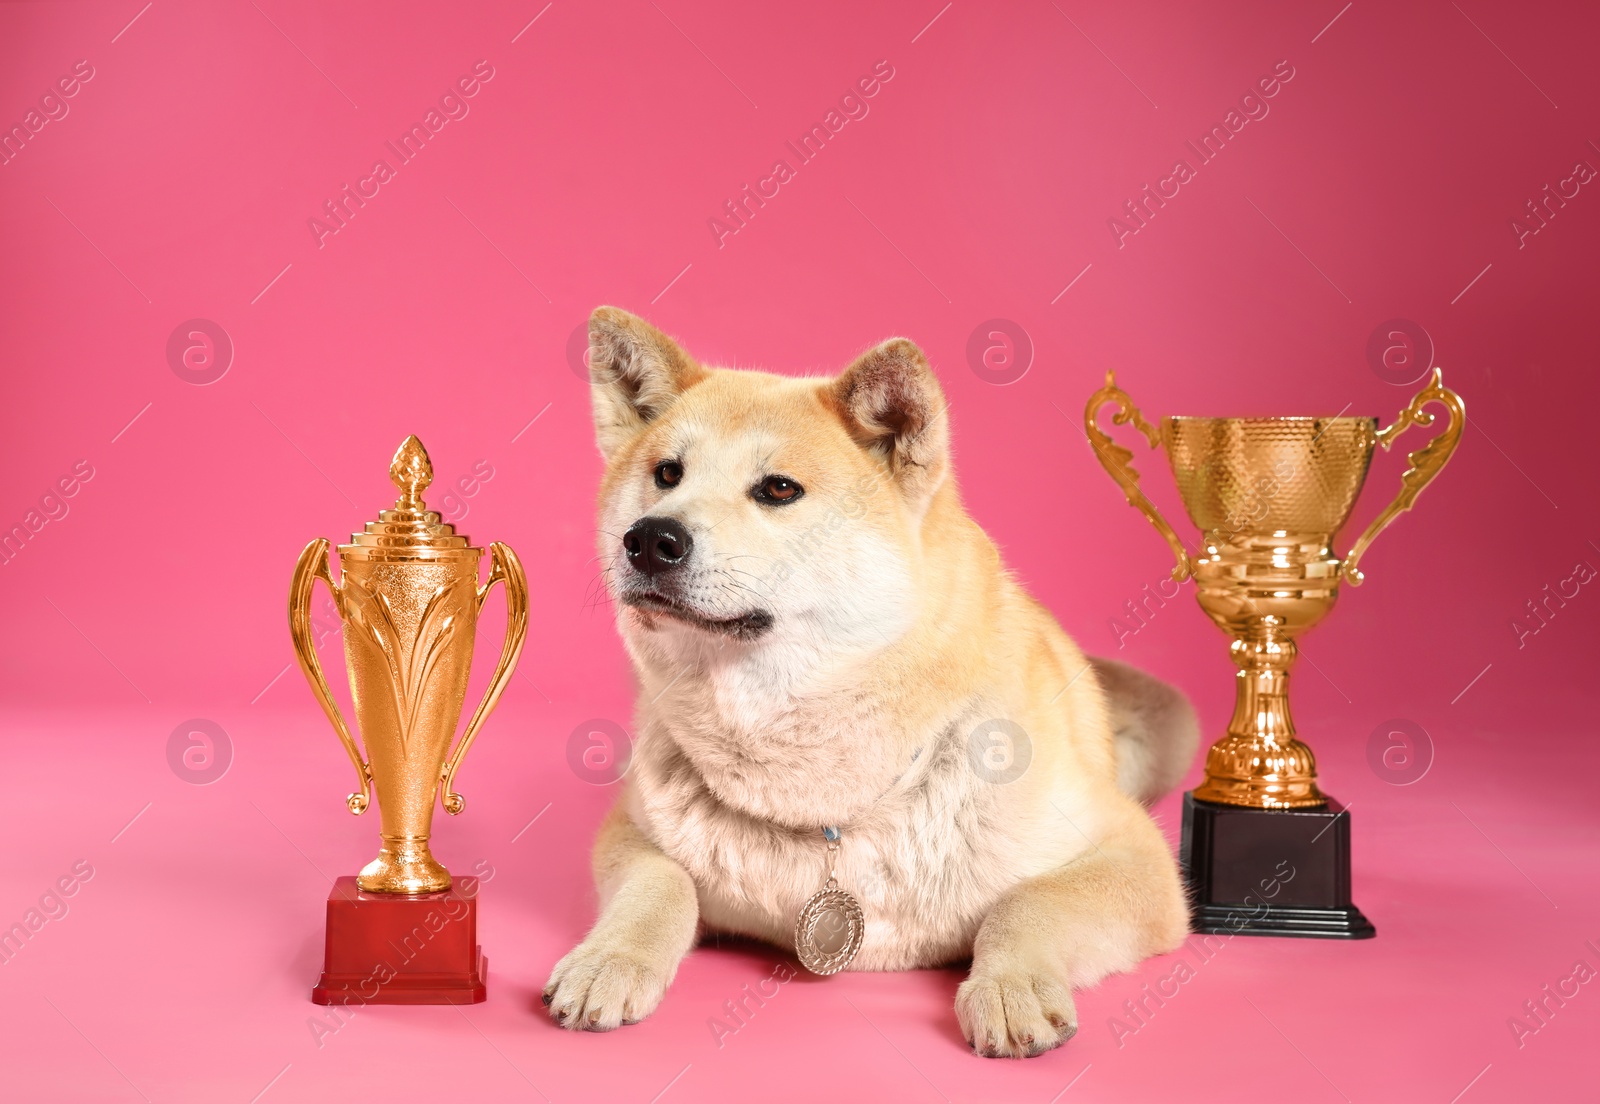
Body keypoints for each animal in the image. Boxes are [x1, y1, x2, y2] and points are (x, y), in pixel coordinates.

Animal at [544, 305, 1196, 1056]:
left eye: (779, 489)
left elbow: (1028, 901)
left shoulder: (1140, 860)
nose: (651, 539)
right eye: (667, 473)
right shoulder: (629, 831)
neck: (816, 796)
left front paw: (1010, 985)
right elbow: (661, 883)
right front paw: (608, 959)